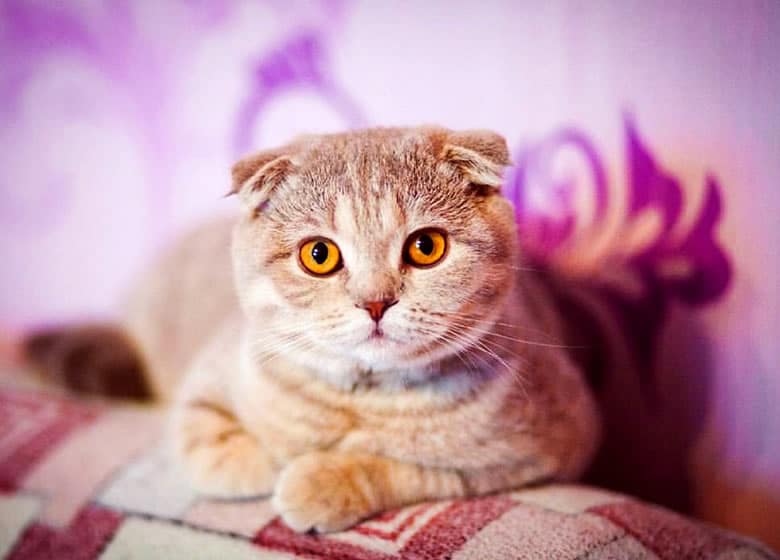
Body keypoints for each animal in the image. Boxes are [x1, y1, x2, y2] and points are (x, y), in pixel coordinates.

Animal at [24, 127, 600, 532]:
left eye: (426, 247)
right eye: (318, 255)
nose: (375, 301)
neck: (360, 397)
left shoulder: (549, 448)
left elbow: (417, 470)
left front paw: (321, 478)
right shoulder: (205, 381)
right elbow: (210, 442)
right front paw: (271, 458)